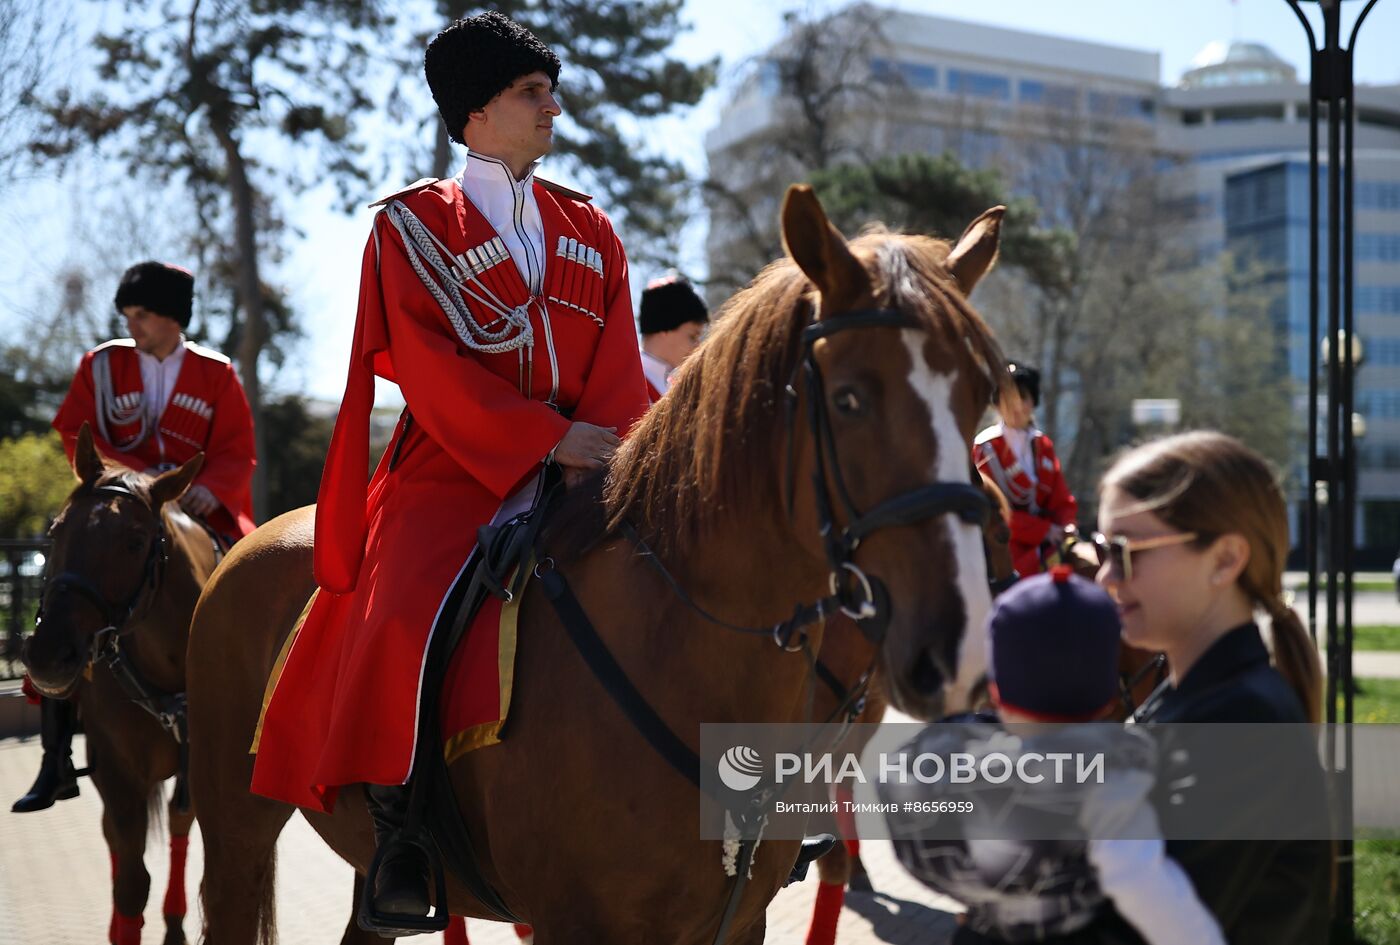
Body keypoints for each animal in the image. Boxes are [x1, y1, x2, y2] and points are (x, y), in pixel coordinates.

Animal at [21, 425, 215, 945]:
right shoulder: (116, 769)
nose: (47, 655)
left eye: (134, 540)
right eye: (55, 530)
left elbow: (180, 829)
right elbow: (130, 882)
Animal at [186, 186, 1013, 945]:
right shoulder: (572, 921)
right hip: (235, 827)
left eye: (980, 396)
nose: (959, 650)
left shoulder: (739, 920)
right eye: (847, 399)